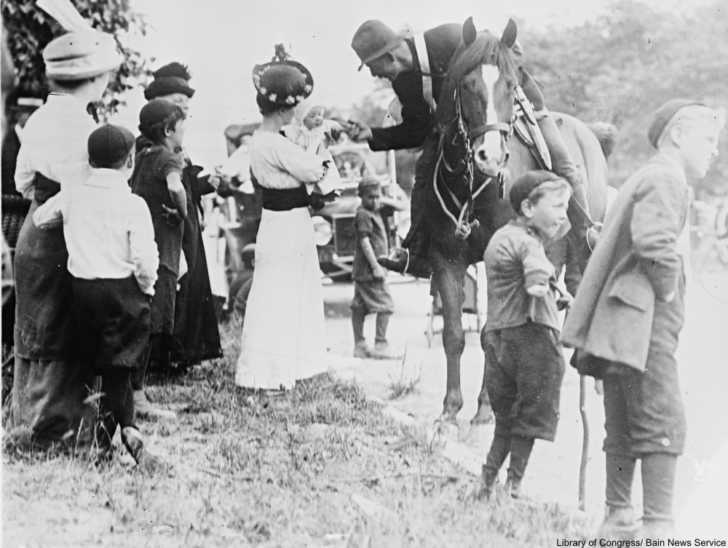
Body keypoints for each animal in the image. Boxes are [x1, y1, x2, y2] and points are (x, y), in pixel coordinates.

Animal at [430, 16, 612, 420]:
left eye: (512, 86)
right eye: (467, 84)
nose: (490, 157)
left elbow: (491, 333)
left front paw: (485, 407)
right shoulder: (448, 258)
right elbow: (453, 334)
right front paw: (450, 408)